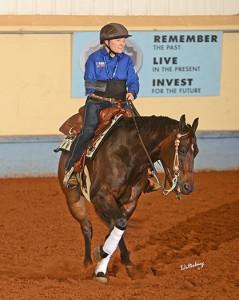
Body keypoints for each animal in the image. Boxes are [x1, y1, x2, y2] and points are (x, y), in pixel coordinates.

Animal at [57, 112, 198, 282]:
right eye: (182, 150)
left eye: (196, 151)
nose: (188, 187)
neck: (129, 154)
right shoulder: (100, 195)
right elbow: (119, 224)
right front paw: (101, 260)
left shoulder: (130, 201)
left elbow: (117, 226)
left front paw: (111, 264)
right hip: (73, 198)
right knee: (86, 227)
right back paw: (87, 263)